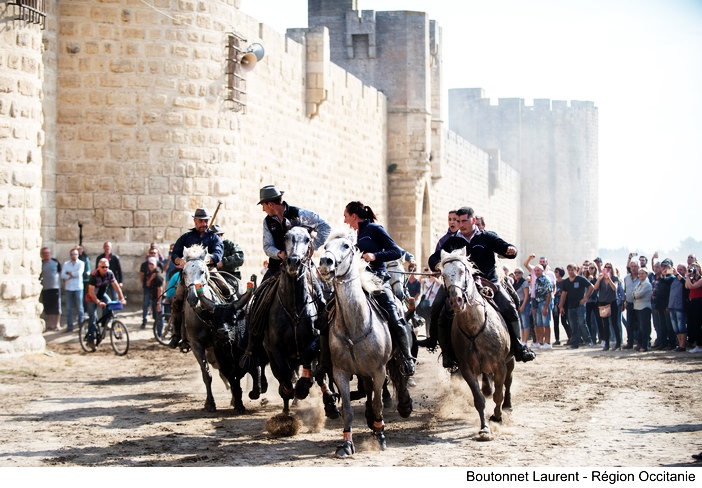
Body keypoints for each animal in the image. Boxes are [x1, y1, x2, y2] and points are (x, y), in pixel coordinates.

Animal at [320, 231, 412, 456]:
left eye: (346, 246)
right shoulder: (341, 372)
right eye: (326, 246)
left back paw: (402, 406)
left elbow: (379, 403)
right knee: (368, 389)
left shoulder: (379, 371)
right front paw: (346, 444)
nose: (325, 262)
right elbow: (347, 410)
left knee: (401, 375)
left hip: (393, 358)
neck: (355, 325)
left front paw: (379, 437)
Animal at [440, 250, 516, 440]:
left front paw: (497, 417)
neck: (474, 327)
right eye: (443, 275)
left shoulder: (500, 365)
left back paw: (508, 406)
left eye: (463, 271)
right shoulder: (466, 368)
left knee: (508, 382)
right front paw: (484, 429)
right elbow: (479, 399)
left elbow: (498, 394)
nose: (456, 301)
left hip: (510, 361)